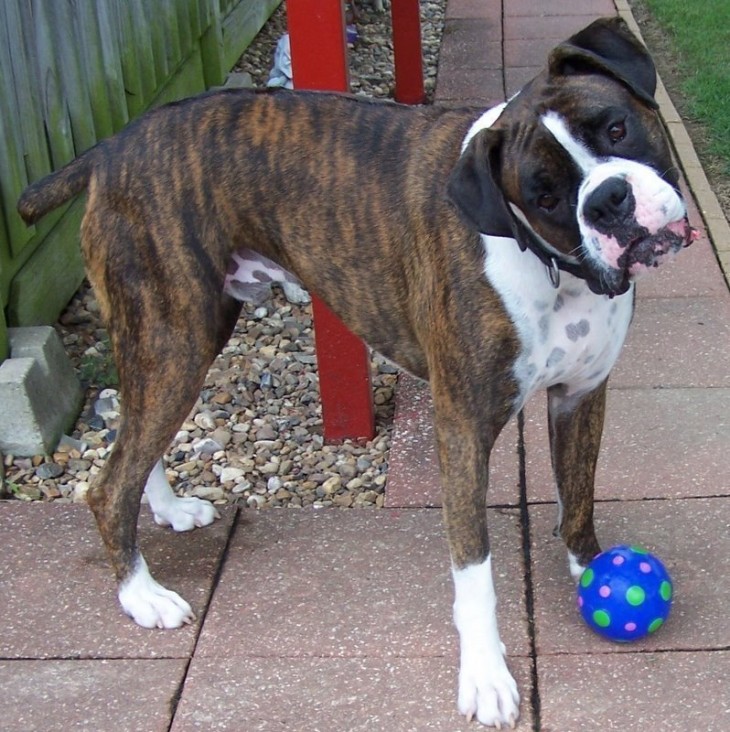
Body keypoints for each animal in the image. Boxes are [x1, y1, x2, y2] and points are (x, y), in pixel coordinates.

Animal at [18, 15, 692, 728]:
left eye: (615, 128)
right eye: (546, 195)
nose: (610, 199)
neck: (554, 267)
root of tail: (110, 147)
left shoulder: (581, 397)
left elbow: (579, 496)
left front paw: (593, 569)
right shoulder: (463, 430)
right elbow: (473, 569)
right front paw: (485, 674)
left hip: (172, 345)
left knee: (130, 428)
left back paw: (170, 510)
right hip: (175, 340)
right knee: (108, 482)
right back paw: (141, 595)